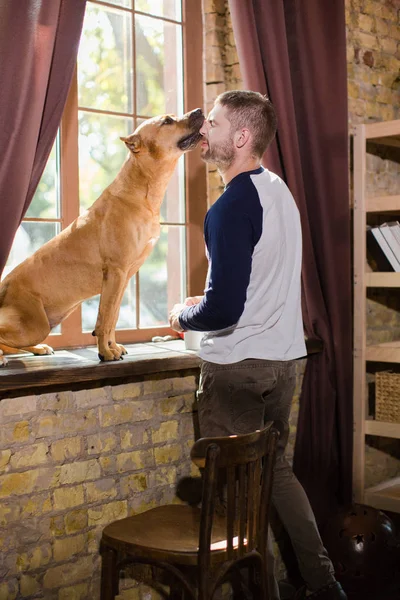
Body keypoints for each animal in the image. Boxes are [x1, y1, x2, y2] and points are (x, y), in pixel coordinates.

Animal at [0, 108, 205, 366]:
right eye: (167, 121)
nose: (199, 111)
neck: (142, 189)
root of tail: (3, 287)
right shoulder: (115, 272)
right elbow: (104, 318)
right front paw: (105, 353)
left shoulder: (123, 278)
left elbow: (113, 317)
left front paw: (113, 347)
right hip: (34, 324)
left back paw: (38, 348)